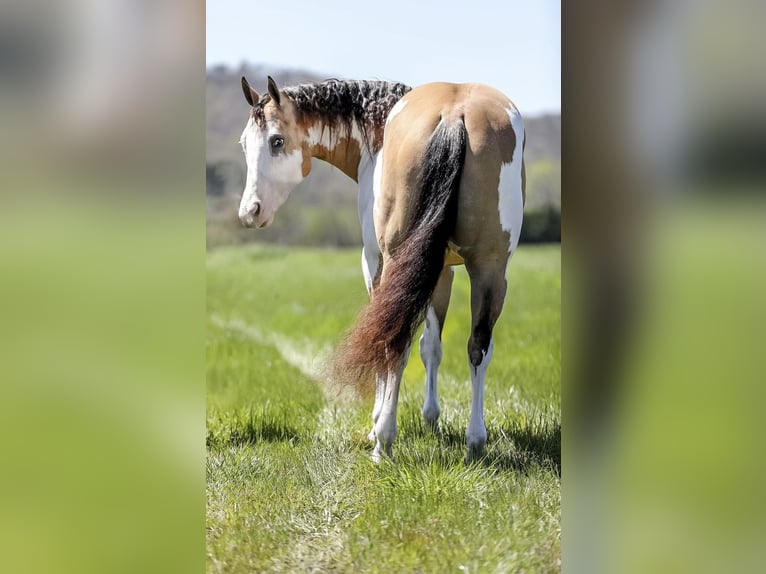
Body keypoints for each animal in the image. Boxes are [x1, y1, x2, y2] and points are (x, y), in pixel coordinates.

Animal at [240, 77, 528, 464]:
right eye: (245, 144)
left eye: (276, 141)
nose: (249, 212)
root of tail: (456, 115)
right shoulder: (441, 270)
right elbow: (431, 346)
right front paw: (431, 418)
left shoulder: (374, 263)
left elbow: (384, 337)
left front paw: (378, 420)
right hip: (490, 268)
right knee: (478, 346)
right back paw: (475, 442)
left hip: (398, 260)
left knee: (395, 341)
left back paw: (384, 441)